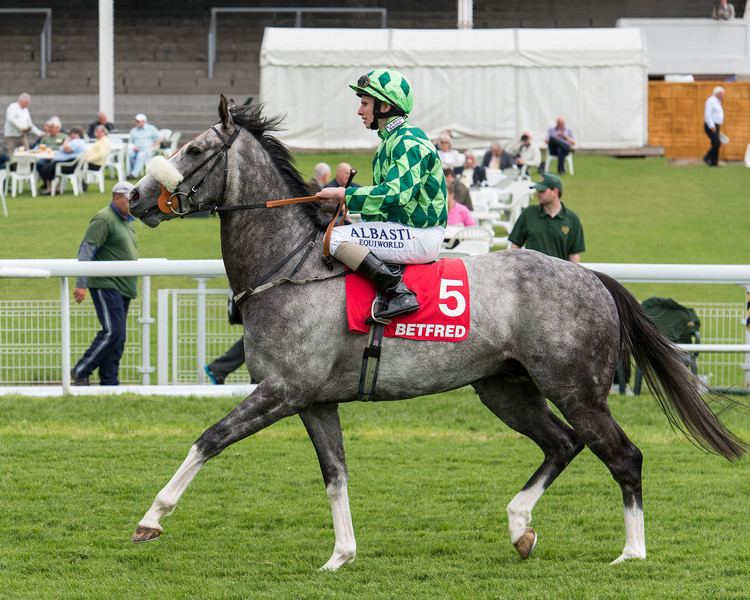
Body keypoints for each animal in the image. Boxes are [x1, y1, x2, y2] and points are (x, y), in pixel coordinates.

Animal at [129, 96, 748, 568]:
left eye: (194, 150)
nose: (133, 196)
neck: (291, 268)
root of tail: (591, 276)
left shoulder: (281, 391)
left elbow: (209, 439)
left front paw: (151, 517)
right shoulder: (314, 401)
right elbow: (335, 475)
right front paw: (341, 555)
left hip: (576, 389)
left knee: (624, 455)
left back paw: (632, 552)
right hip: (504, 388)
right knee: (562, 444)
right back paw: (519, 526)